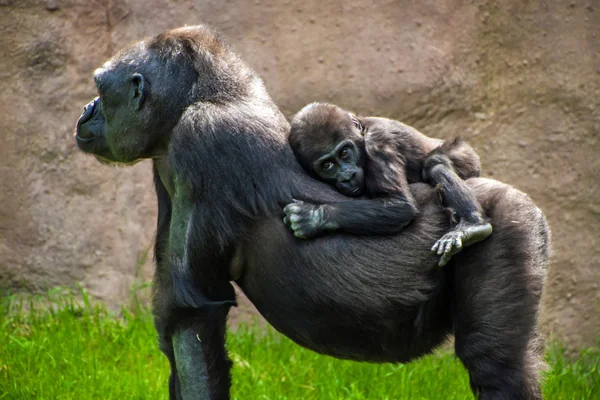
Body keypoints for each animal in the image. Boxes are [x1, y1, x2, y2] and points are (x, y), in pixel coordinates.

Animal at [286, 102, 492, 266]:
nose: (347, 176)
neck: (362, 135)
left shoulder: (378, 142)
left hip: (466, 155)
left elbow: (400, 205)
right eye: (327, 165)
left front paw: (314, 216)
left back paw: (473, 225)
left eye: (344, 152)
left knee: (435, 163)